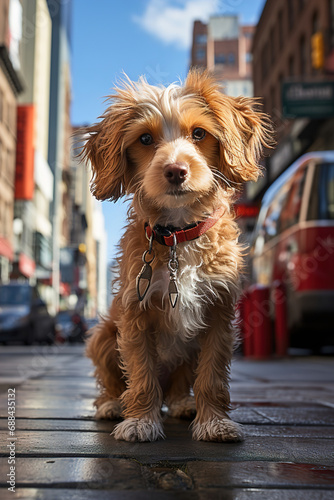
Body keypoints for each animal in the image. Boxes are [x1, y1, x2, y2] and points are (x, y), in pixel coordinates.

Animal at [81, 69, 272, 442]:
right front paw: (141, 420)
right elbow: (141, 376)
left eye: (199, 133)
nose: (175, 170)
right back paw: (111, 405)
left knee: (180, 386)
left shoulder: (219, 313)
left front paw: (214, 422)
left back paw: (184, 404)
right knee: (115, 383)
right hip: (103, 335)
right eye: (144, 139)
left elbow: (212, 378)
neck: (177, 236)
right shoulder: (134, 313)